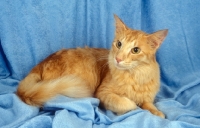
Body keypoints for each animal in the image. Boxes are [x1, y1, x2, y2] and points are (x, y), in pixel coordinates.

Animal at [16, 14, 167, 118]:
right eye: (119, 44)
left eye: (135, 50)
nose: (118, 58)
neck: (134, 76)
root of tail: (41, 63)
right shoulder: (103, 93)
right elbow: (124, 103)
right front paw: (133, 105)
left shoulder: (148, 98)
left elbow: (149, 105)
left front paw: (157, 113)